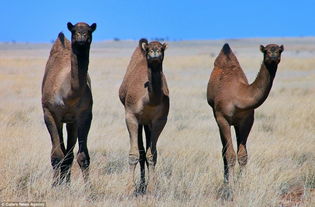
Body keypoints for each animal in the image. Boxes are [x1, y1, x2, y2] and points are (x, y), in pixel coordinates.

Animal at [42, 21, 96, 185]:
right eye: (73, 31)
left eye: (90, 31)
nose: (81, 37)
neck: (68, 95)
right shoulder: (50, 113)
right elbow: (56, 155)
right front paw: (54, 185)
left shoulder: (84, 115)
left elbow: (82, 156)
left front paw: (88, 187)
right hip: (60, 120)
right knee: (62, 151)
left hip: (71, 122)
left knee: (69, 154)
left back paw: (66, 182)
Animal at [119, 37, 170, 194]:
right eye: (148, 49)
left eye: (162, 48)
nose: (155, 52)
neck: (148, 100)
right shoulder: (131, 117)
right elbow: (134, 154)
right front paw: (130, 188)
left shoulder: (160, 120)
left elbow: (152, 155)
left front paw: (152, 187)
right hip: (140, 121)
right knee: (140, 151)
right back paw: (140, 185)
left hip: (148, 123)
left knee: (145, 151)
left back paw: (144, 185)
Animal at [207, 43, 284, 183]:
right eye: (266, 51)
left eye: (280, 50)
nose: (273, 56)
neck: (239, 96)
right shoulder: (222, 118)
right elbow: (230, 154)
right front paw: (230, 184)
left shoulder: (247, 120)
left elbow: (243, 155)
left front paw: (242, 181)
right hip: (216, 115)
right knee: (224, 150)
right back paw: (225, 180)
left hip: (236, 124)